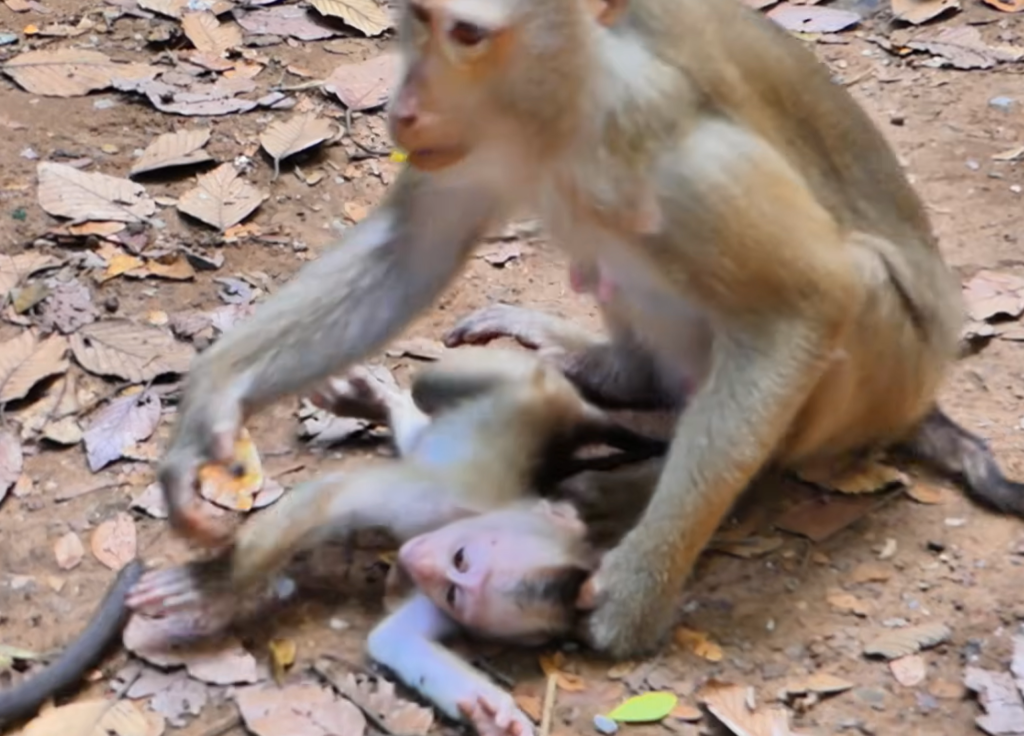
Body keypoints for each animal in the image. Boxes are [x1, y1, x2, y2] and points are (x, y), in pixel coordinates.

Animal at [130, 349, 664, 736]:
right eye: (462, 558)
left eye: (454, 591)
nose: (421, 564)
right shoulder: (429, 507)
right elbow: (329, 497)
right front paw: (214, 583)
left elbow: (394, 637)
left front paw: (487, 710)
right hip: (521, 375)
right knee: (437, 385)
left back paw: (377, 404)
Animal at [151, 0, 1024, 658]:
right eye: (419, 19)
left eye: (469, 34)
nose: (405, 105)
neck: (561, 109)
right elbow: (412, 254)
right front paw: (208, 413)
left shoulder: (675, 146)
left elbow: (809, 300)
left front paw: (638, 590)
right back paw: (610, 370)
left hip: (889, 367)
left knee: (847, 294)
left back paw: (648, 480)